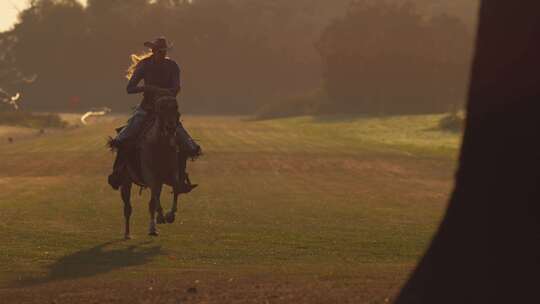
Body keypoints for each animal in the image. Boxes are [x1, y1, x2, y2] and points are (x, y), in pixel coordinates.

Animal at [119, 96, 185, 239]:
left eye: (176, 107)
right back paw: (127, 233)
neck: (160, 145)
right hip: (126, 180)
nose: (170, 128)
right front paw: (161, 216)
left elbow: (176, 188)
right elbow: (155, 195)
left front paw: (170, 215)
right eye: (161, 108)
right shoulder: (151, 176)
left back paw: (152, 229)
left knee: (151, 203)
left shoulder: (171, 173)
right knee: (127, 207)